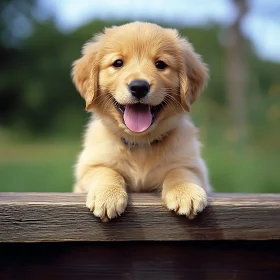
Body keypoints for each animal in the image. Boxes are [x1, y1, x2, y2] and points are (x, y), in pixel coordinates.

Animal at [71, 21, 210, 221]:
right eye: (118, 63)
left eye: (160, 64)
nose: (139, 87)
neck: (141, 143)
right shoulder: (89, 167)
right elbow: (106, 171)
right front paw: (108, 195)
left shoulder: (193, 165)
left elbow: (179, 171)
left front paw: (185, 192)